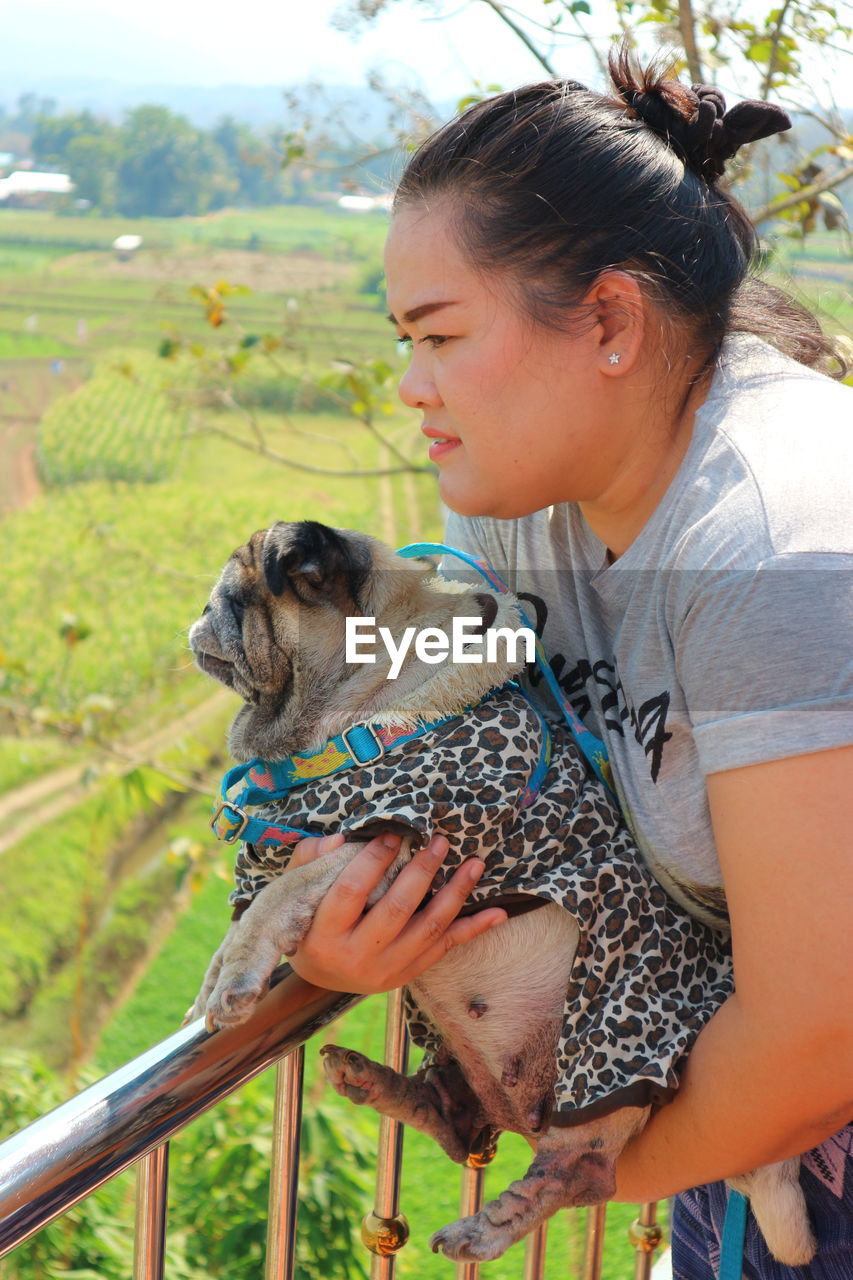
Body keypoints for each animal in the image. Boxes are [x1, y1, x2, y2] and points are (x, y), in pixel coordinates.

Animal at [184, 519, 809, 1269]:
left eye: (232, 598)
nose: (199, 614)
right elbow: (245, 919)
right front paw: (213, 982)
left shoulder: (385, 842)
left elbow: (275, 901)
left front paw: (234, 981)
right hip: (459, 1062)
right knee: (460, 1124)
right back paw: (375, 1081)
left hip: (597, 1081)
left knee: (580, 1173)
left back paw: (486, 1227)